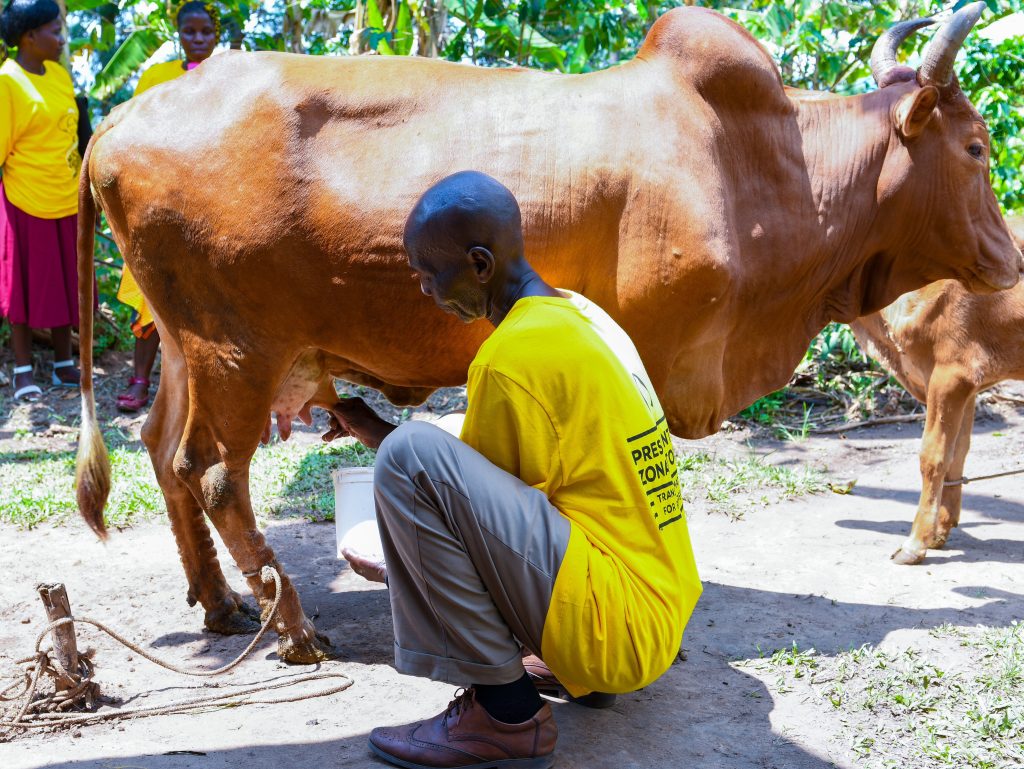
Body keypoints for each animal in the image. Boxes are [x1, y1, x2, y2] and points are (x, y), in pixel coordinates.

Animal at [851, 217, 1024, 565]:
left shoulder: (952, 374)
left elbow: (933, 455)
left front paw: (915, 543)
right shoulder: (969, 386)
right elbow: (958, 452)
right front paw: (940, 530)